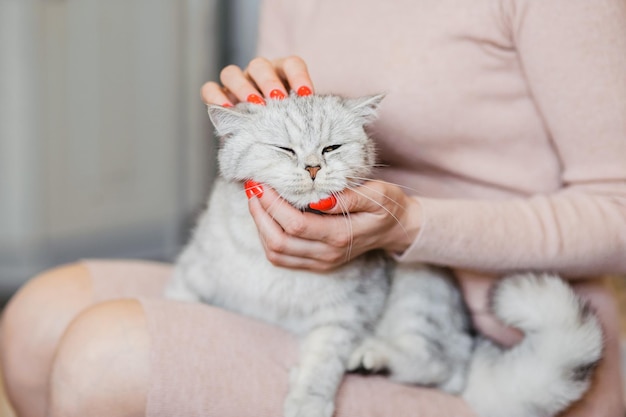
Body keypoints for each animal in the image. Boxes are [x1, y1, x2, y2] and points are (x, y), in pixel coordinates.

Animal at [163, 93, 604, 416]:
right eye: (284, 149)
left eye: (332, 147)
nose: (312, 168)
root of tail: (473, 343)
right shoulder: (193, 272)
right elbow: (181, 295)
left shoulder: (346, 314)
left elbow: (321, 364)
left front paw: (307, 402)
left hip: (417, 290)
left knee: (442, 366)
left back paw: (373, 356)